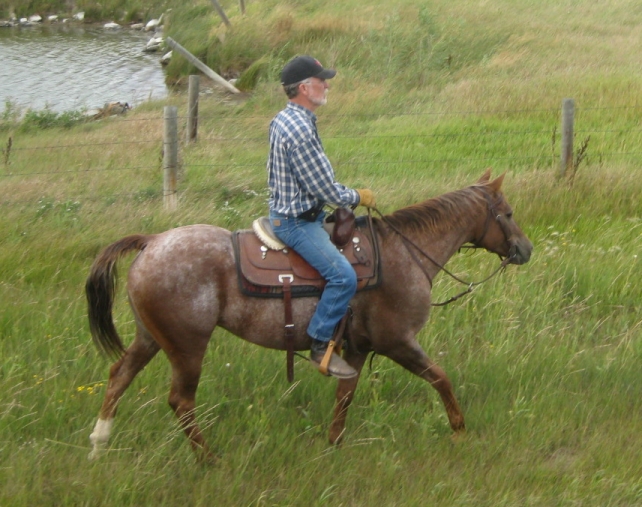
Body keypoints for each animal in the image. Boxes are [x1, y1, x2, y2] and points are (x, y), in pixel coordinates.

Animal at [87, 172, 532, 464]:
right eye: (508, 213)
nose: (525, 249)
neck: (406, 252)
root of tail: (151, 242)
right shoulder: (398, 342)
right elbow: (441, 378)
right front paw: (459, 431)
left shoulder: (355, 348)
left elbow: (345, 395)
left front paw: (333, 443)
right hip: (187, 347)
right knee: (180, 400)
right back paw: (208, 458)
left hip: (150, 338)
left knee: (118, 376)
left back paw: (99, 442)